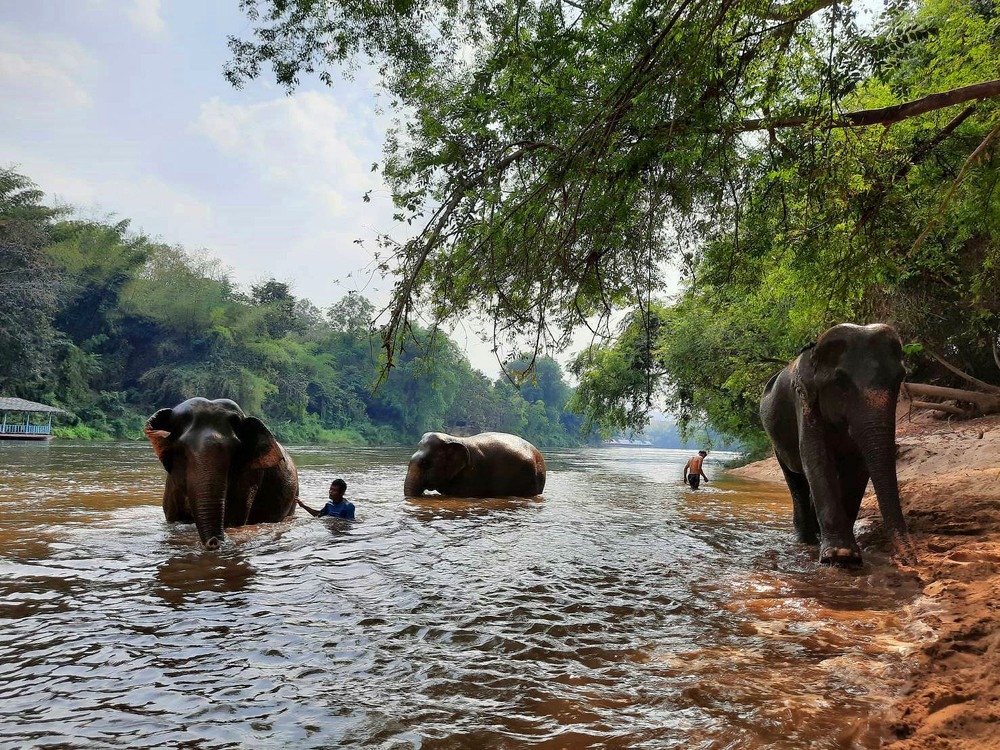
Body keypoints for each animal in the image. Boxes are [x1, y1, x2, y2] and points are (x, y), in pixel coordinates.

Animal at [756, 324, 916, 568]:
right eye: (841, 382)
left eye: (900, 379)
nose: (910, 560)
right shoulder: (803, 402)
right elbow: (816, 457)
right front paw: (840, 556)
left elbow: (858, 465)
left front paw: (846, 554)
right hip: (777, 442)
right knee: (796, 480)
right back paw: (806, 540)